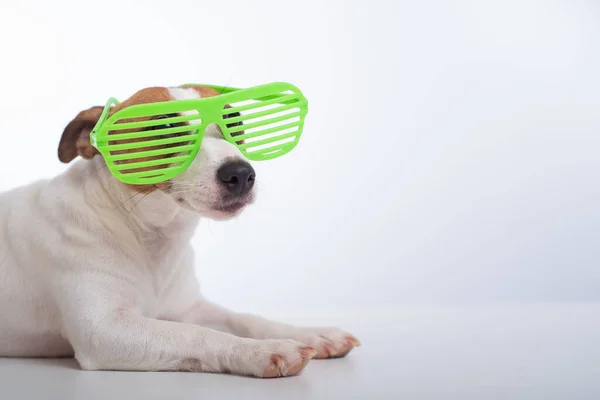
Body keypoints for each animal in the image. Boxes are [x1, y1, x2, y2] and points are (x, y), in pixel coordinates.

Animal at [0, 84, 358, 378]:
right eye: (165, 128)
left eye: (235, 121)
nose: (241, 173)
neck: (145, 233)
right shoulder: (104, 330)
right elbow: (197, 335)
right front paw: (262, 349)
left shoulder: (188, 308)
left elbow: (244, 319)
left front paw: (311, 333)